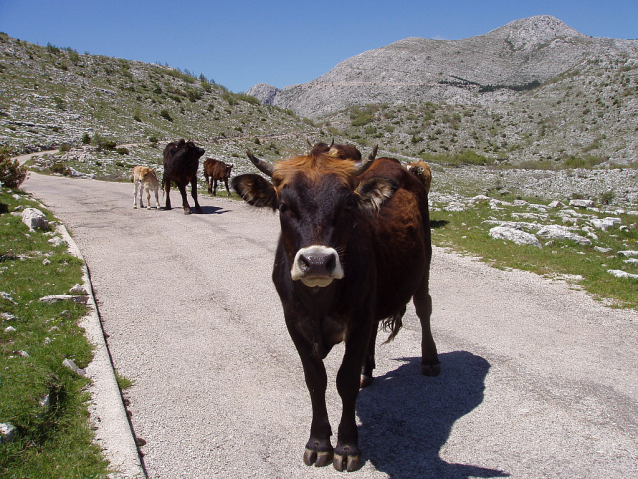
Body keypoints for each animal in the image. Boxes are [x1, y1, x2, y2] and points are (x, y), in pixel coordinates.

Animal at [232, 142, 442, 472]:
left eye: (347, 206)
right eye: (283, 206)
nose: (317, 262)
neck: (319, 300)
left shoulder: (357, 321)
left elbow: (345, 380)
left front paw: (346, 447)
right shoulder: (294, 322)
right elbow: (315, 380)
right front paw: (318, 444)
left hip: (424, 265)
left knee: (424, 308)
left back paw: (430, 361)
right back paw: (368, 372)